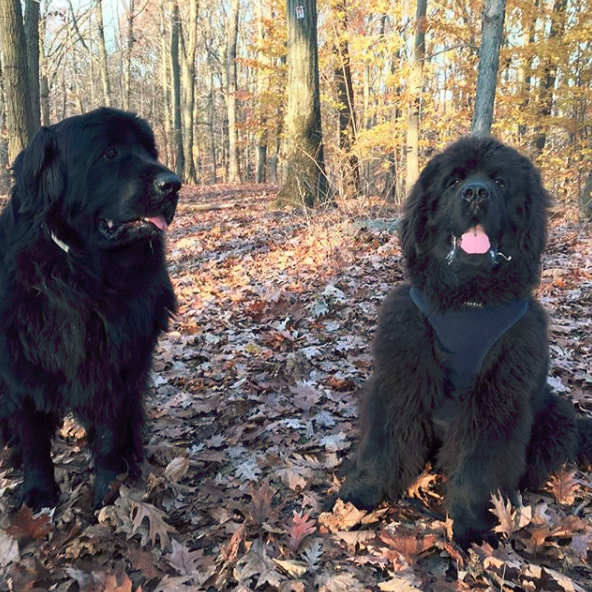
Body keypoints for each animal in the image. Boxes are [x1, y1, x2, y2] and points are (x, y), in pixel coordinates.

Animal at [0, 106, 180, 508]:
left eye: (149, 151)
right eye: (109, 154)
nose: (173, 183)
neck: (81, 275)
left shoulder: (116, 364)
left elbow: (110, 433)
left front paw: (111, 491)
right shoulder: (20, 365)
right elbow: (32, 434)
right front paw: (39, 491)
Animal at [340, 136, 592, 548]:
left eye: (500, 182)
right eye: (454, 181)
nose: (476, 192)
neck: (469, 300)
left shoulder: (497, 398)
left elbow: (480, 464)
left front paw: (472, 523)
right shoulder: (401, 378)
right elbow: (385, 442)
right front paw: (361, 495)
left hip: (555, 413)